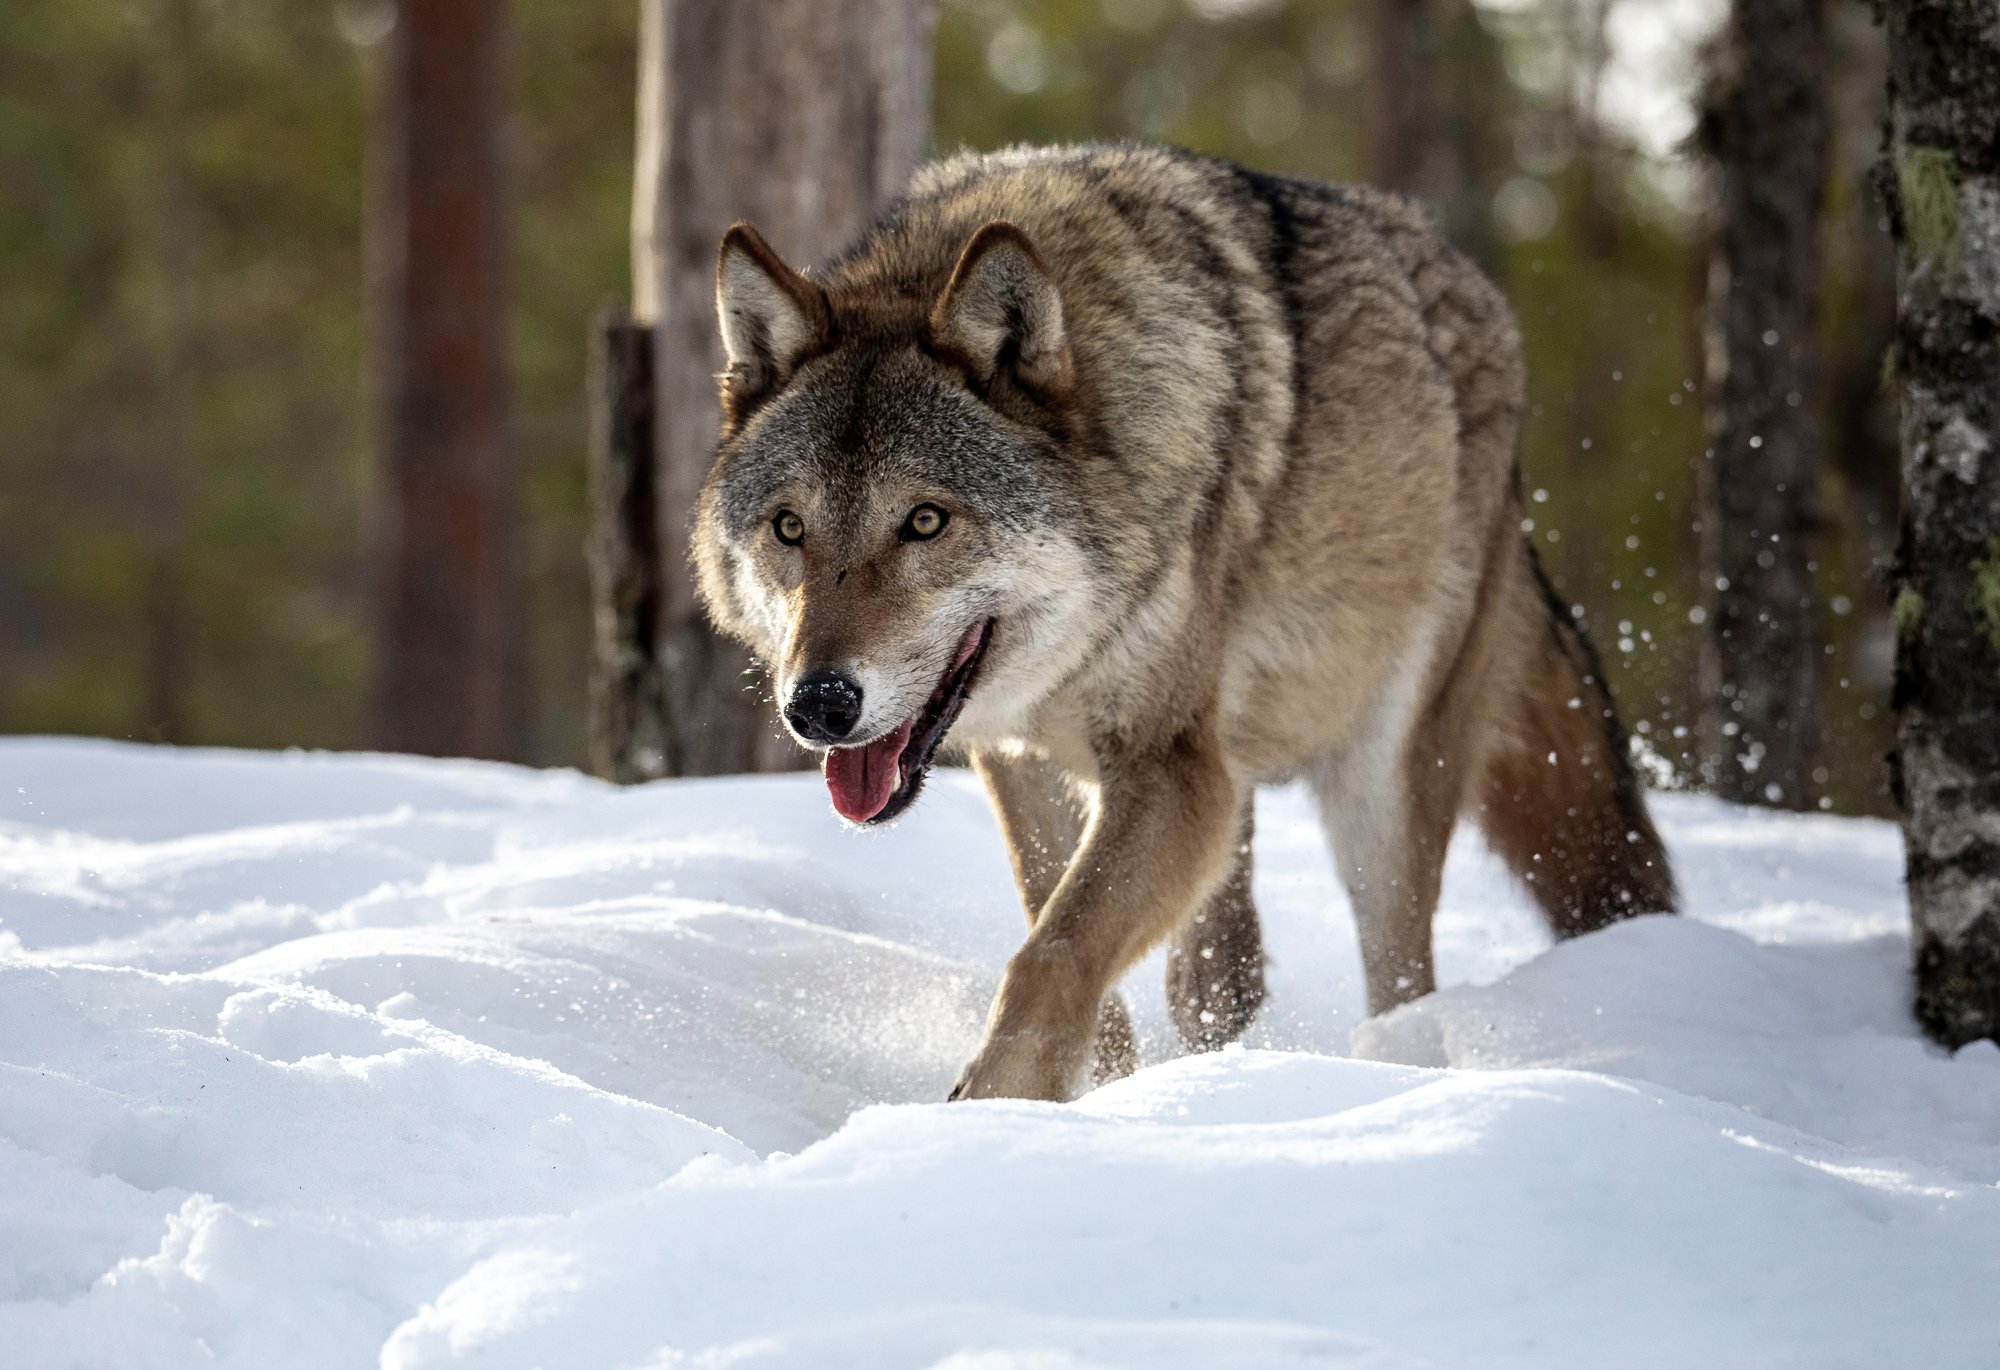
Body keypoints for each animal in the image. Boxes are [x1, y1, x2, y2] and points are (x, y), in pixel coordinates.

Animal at [688, 142, 1672, 1104]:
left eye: (925, 521)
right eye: (789, 528)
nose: (818, 705)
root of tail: (1470, 281)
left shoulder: (1170, 766)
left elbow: (1054, 952)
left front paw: (995, 1109)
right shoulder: (1026, 758)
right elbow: (1056, 922)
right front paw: (1094, 1095)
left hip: (1379, 784)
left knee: (1400, 978)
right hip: (1234, 783)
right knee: (1222, 970)